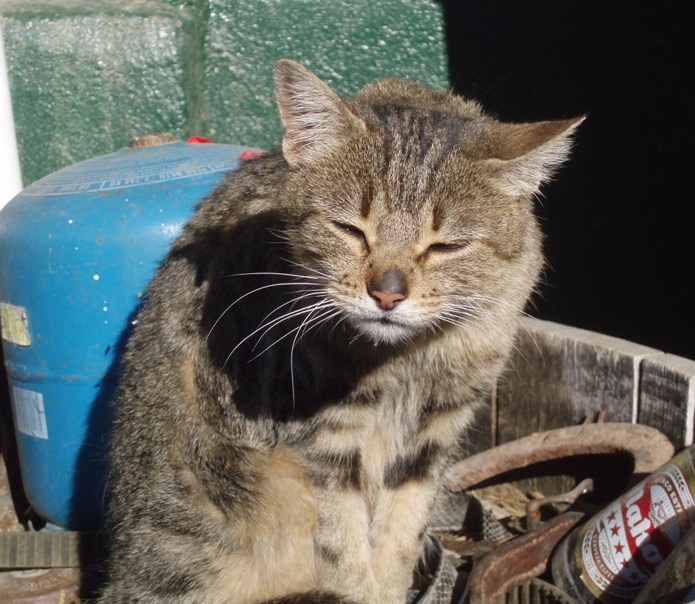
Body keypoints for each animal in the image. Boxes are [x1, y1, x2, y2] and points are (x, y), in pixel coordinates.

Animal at [102, 59, 580, 600]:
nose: (388, 294)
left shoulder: (435, 435)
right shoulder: (322, 442)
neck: (407, 361)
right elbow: (344, 551)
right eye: (350, 229)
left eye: (446, 246)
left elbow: (400, 539)